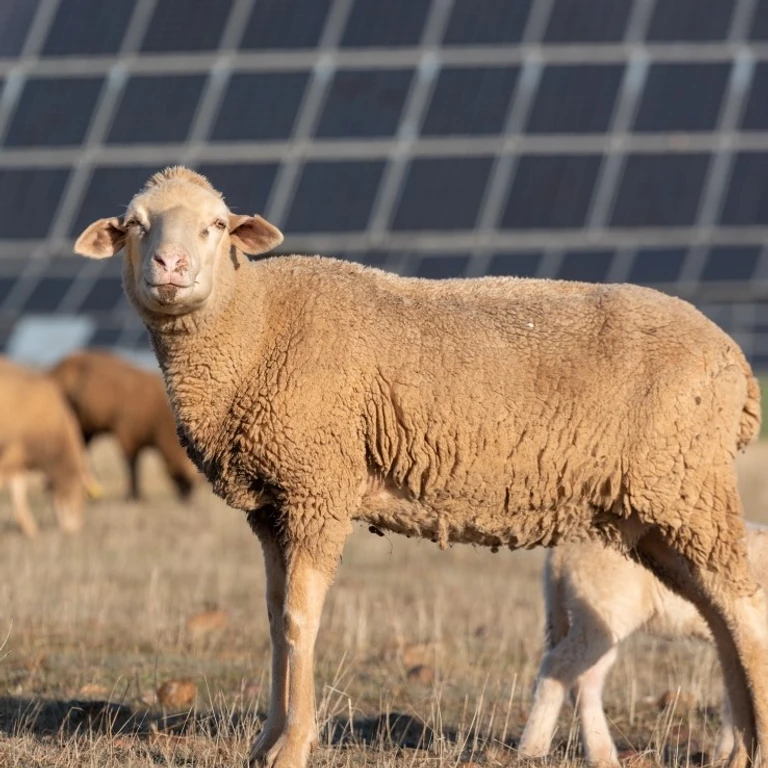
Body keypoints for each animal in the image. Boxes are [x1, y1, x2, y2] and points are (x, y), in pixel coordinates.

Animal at [0, 357, 92, 536]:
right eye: (83, 495)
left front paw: (29, 529)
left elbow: (19, 492)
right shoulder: (12, 452)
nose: (79, 527)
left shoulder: (18, 459)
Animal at [49, 349, 199, 501]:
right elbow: (131, 464)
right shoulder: (127, 434)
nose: (188, 499)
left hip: (85, 428)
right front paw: (133, 494)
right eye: (183, 477)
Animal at [518, 522, 768, 764]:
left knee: (586, 677)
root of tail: (561, 551)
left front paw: (724, 755)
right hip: (602, 609)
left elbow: (734, 695)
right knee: (559, 666)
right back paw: (533, 750)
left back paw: (602, 755)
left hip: (597, 618)